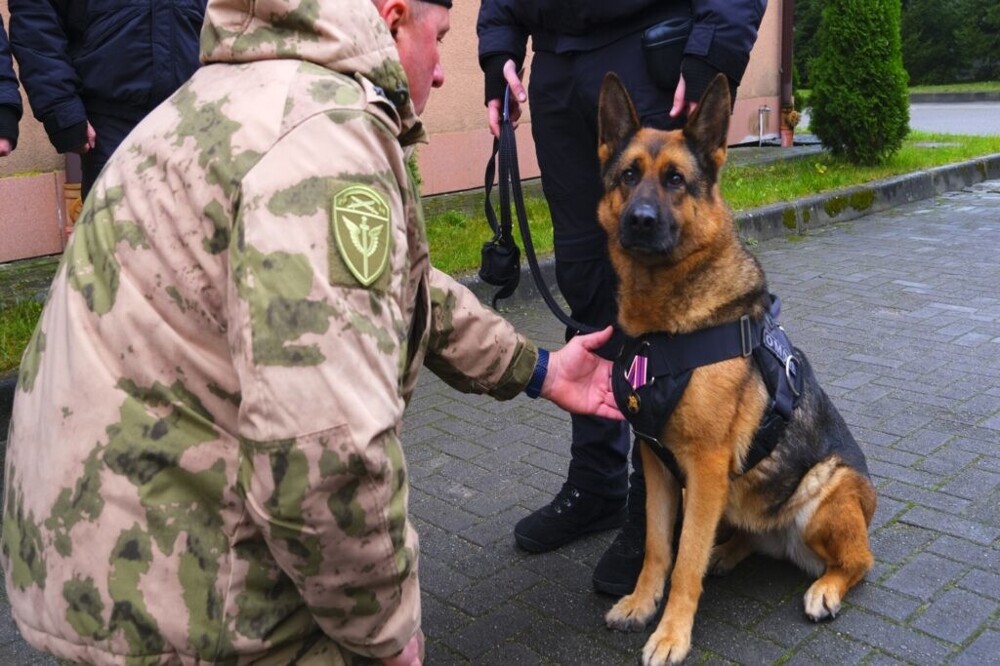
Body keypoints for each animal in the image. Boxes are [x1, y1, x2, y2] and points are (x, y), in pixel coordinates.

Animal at [592, 70, 876, 660]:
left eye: (676, 180)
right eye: (629, 175)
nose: (639, 221)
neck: (665, 329)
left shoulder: (702, 467)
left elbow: (683, 563)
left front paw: (671, 633)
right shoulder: (658, 465)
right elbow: (660, 547)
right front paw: (642, 603)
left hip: (824, 490)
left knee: (859, 561)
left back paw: (825, 588)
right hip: (732, 499)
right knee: (740, 536)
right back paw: (726, 553)